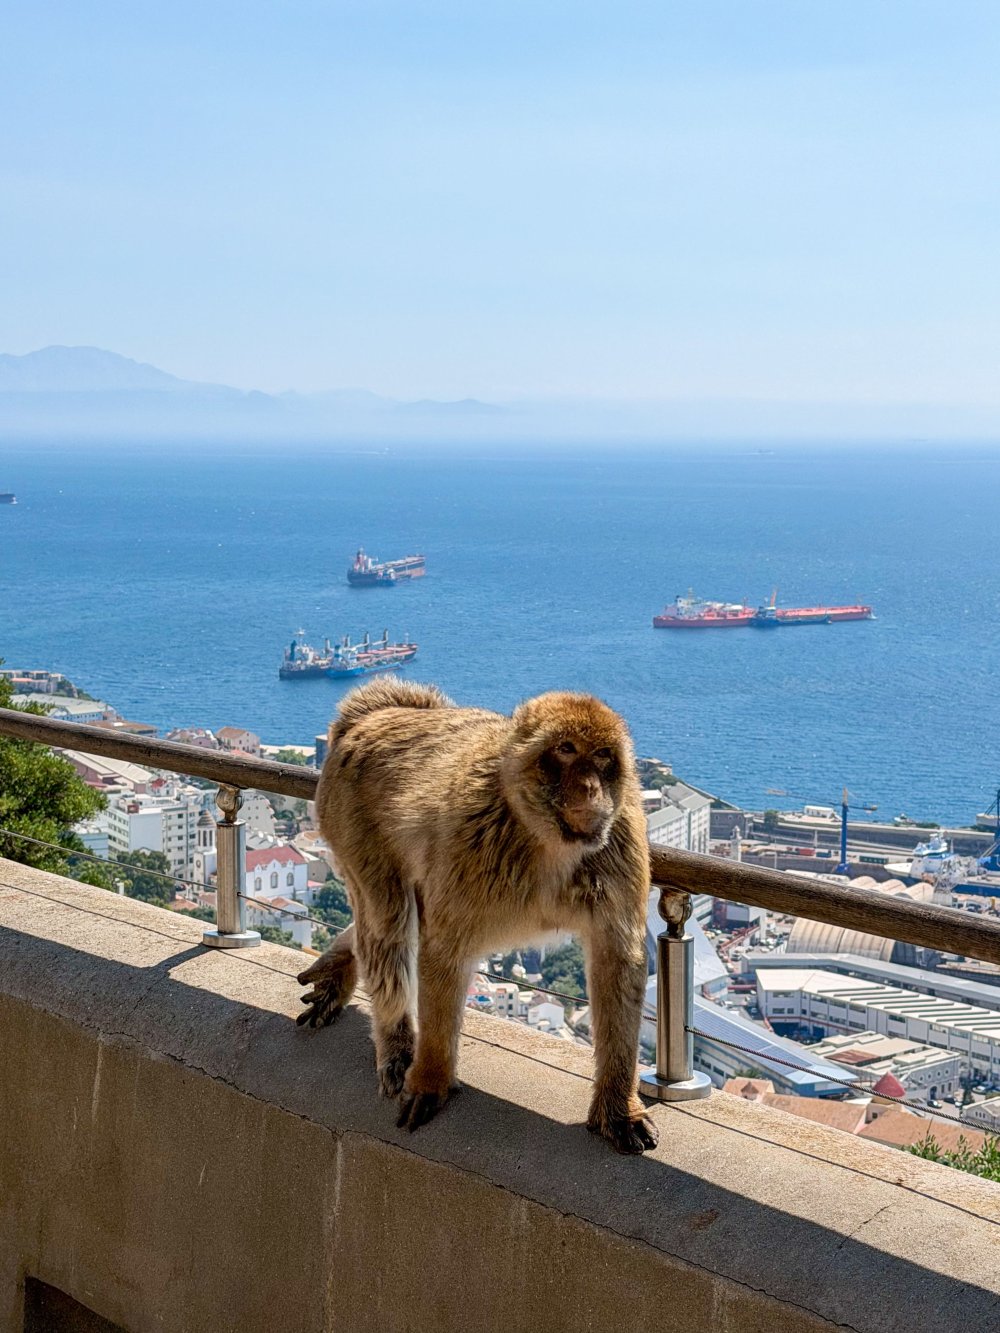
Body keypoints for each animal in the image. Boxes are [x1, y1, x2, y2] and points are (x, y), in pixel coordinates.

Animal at [297, 676, 658, 1155]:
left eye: (601, 756)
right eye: (565, 750)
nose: (590, 788)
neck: (545, 839)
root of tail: (372, 715)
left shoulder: (621, 842)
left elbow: (617, 961)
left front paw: (618, 1109)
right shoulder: (468, 836)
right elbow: (443, 952)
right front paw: (431, 1078)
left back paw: (340, 963)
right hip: (348, 817)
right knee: (387, 921)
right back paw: (394, 1040)